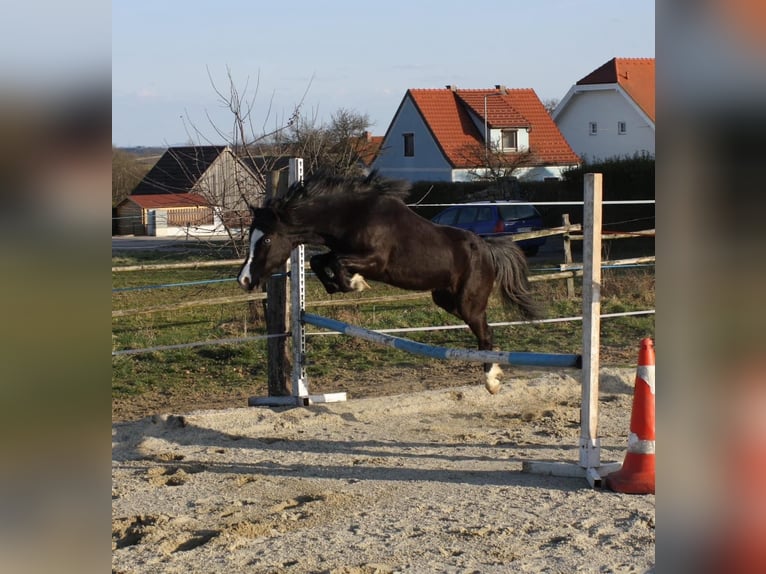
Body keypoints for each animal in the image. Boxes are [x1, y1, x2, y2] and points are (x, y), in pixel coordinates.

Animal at [237, 173, 544, 394]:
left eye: (266, 239)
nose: (244, 279)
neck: (350, 216)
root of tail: (487, 247)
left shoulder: (376, 261)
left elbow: (336, 261)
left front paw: (355, 283)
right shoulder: (342, 252)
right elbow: (319, 261)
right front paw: (342, 283)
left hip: (469, 303)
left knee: (485, 333)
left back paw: (492, 381)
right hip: (446, 299)